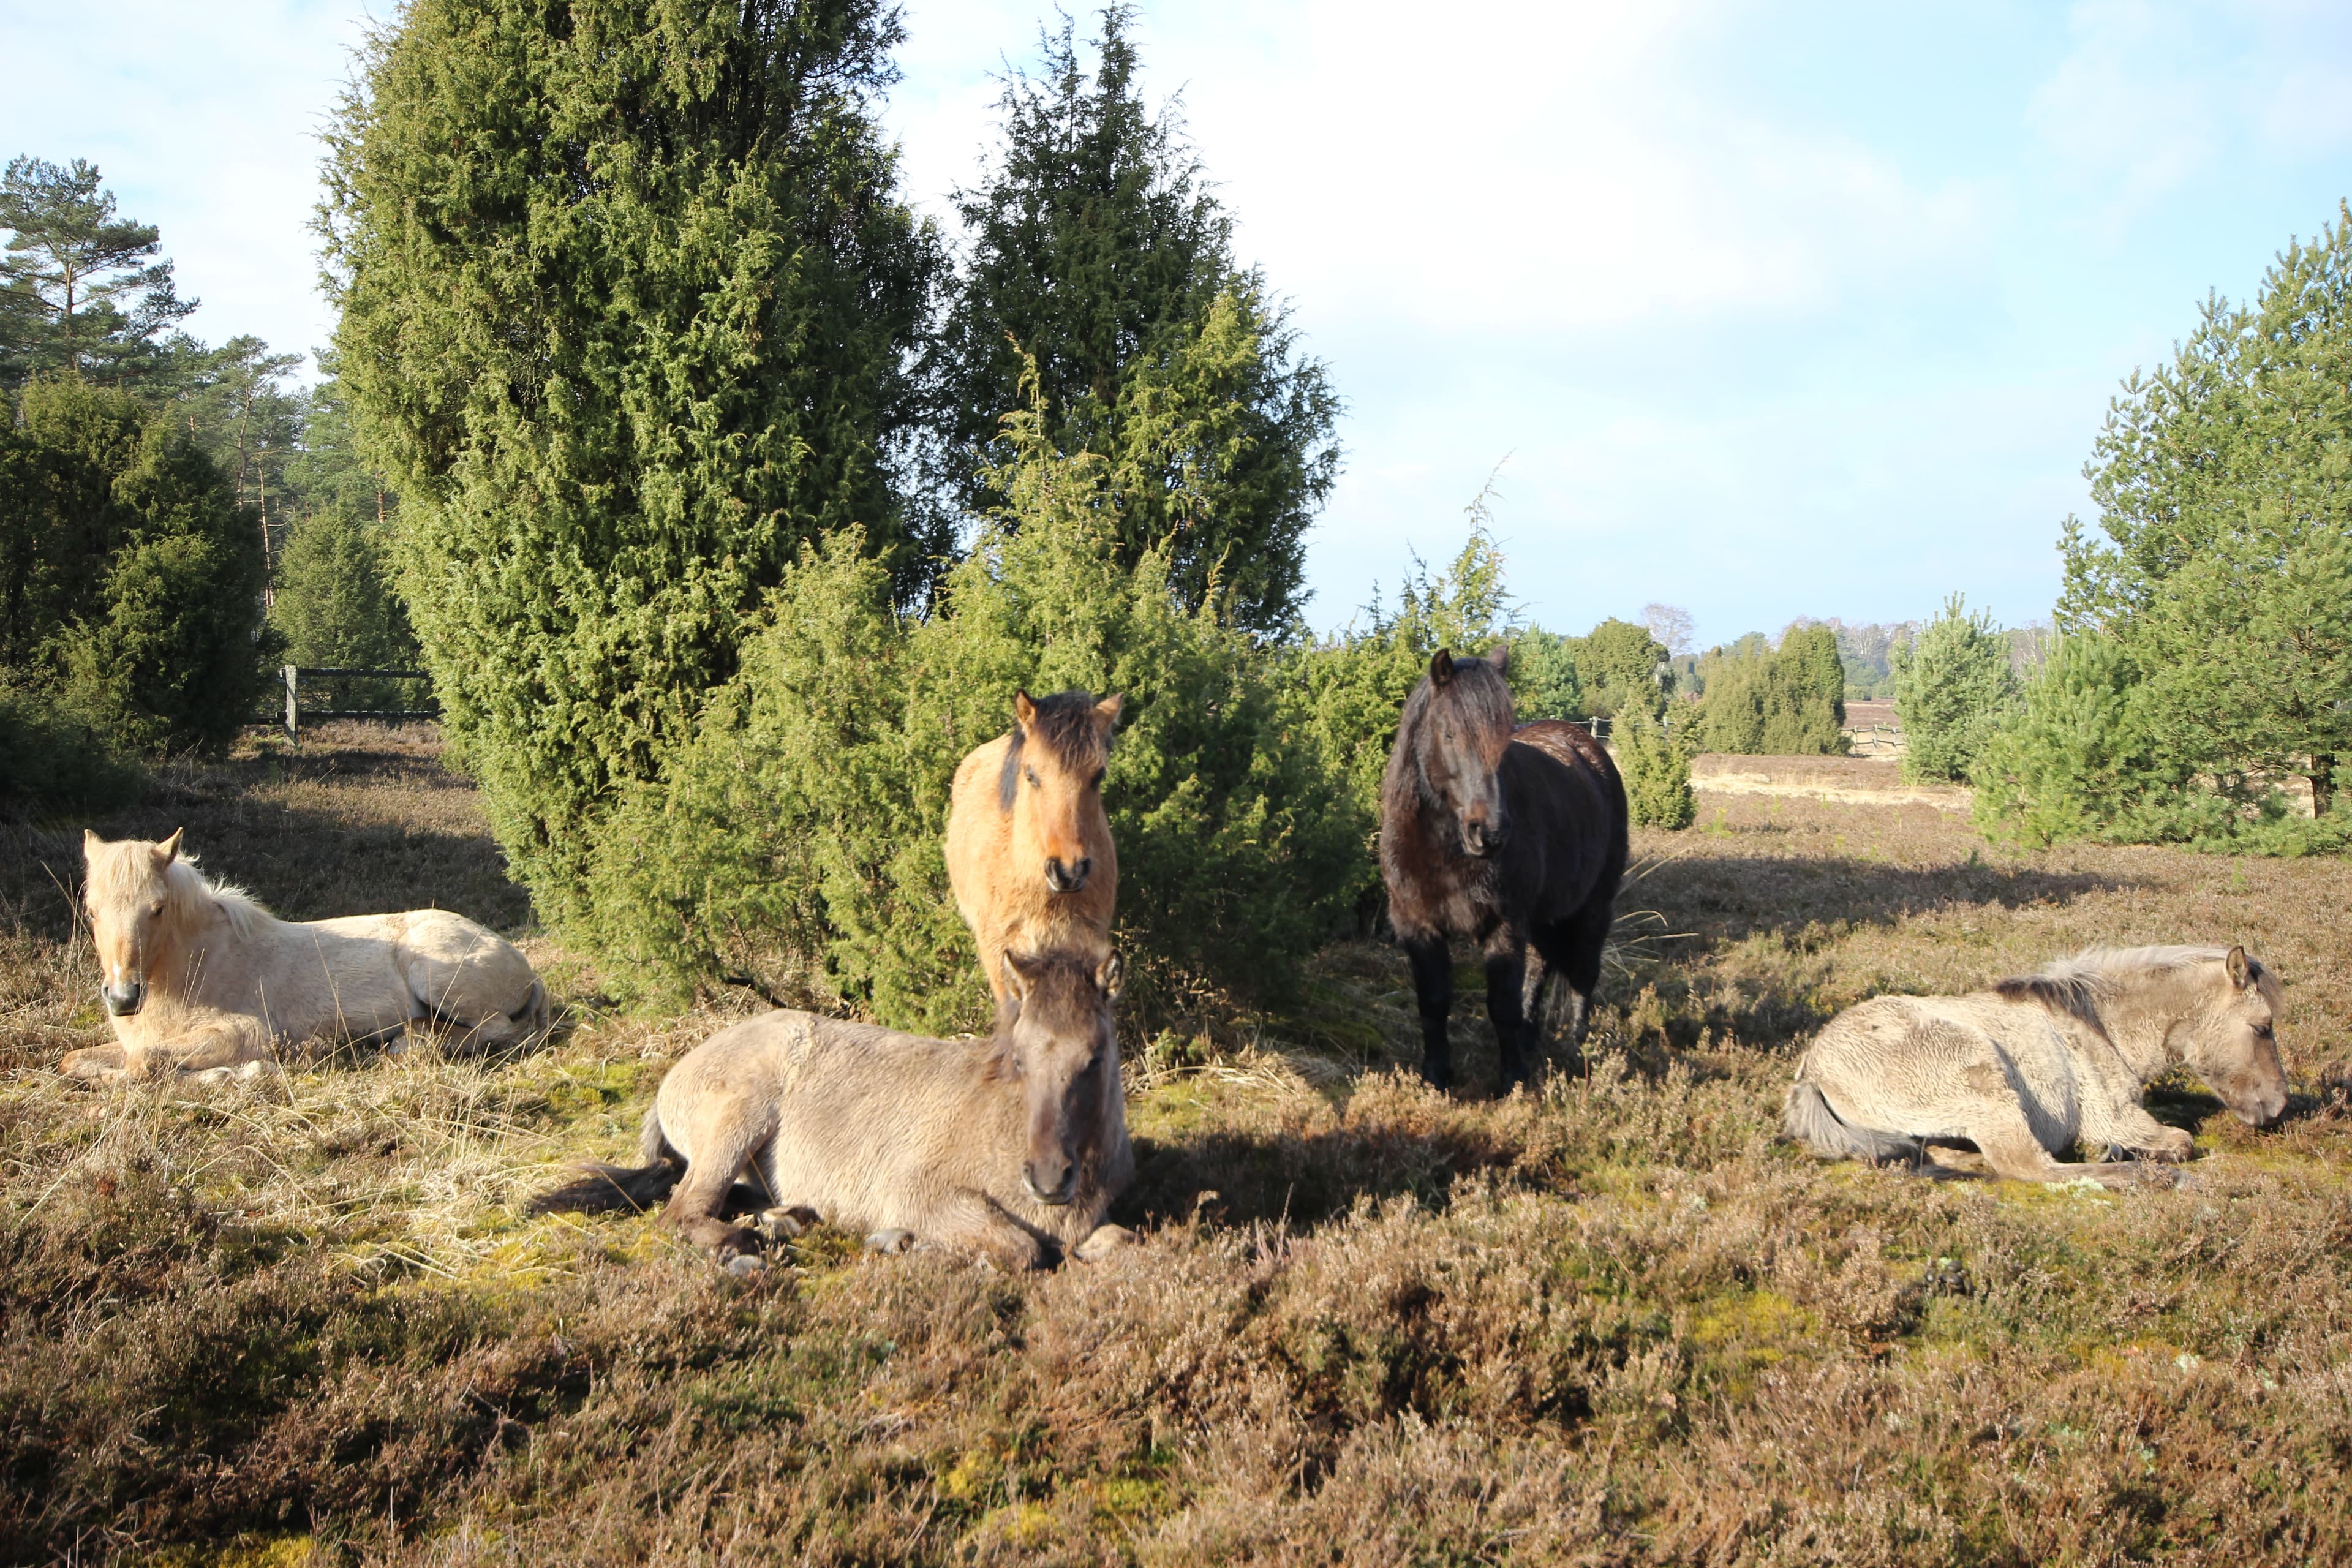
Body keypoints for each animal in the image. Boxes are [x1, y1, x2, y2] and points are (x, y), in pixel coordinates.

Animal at [66, 832, 550, 1081]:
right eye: (90, 911)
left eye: (158, 908)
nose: (123, 998)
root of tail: (522, 964)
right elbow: (81, 1061)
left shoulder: (247, 1033)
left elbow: (148, 1063)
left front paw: (246, 1073)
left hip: (436, 977)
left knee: (497, 1029)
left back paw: (408, 1045)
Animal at [529, 944, 1133, 1278]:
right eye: (1019, 1057)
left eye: (1095, 1056)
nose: (1049, 1179)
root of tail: (675, 1076)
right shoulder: (921, 1191)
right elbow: (1020, 1249)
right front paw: (908, 1247)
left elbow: (1120, 1241)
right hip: (739, 1119)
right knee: (682, 1210)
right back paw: (743, 1245)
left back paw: (785, 1220)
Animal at [1382, 649, 1627, 1090]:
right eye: (1449, 734)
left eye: (1503, 737)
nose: (1491, 833)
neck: (1445, 850)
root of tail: (1587, 747)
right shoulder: (1417, 925)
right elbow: (1434, 1001)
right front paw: (1436, 1076)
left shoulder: (1505, 924)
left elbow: (1502, 1003)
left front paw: (1513, 1080)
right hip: (1546, 916)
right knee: (1542, 966)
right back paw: (1532, 1039)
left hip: (1594, 906)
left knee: (1583, 971)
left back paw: (1576, 1048)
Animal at [1787, 944, 2286, 1189]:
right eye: (2262, 1026)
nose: (2279, 1105)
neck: (2098, 1026)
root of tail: (1815, 1067)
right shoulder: (2119, 1120)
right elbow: (2182, 1142)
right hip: (1985, 1081)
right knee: (2031, 1168)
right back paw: (2143, 1175)